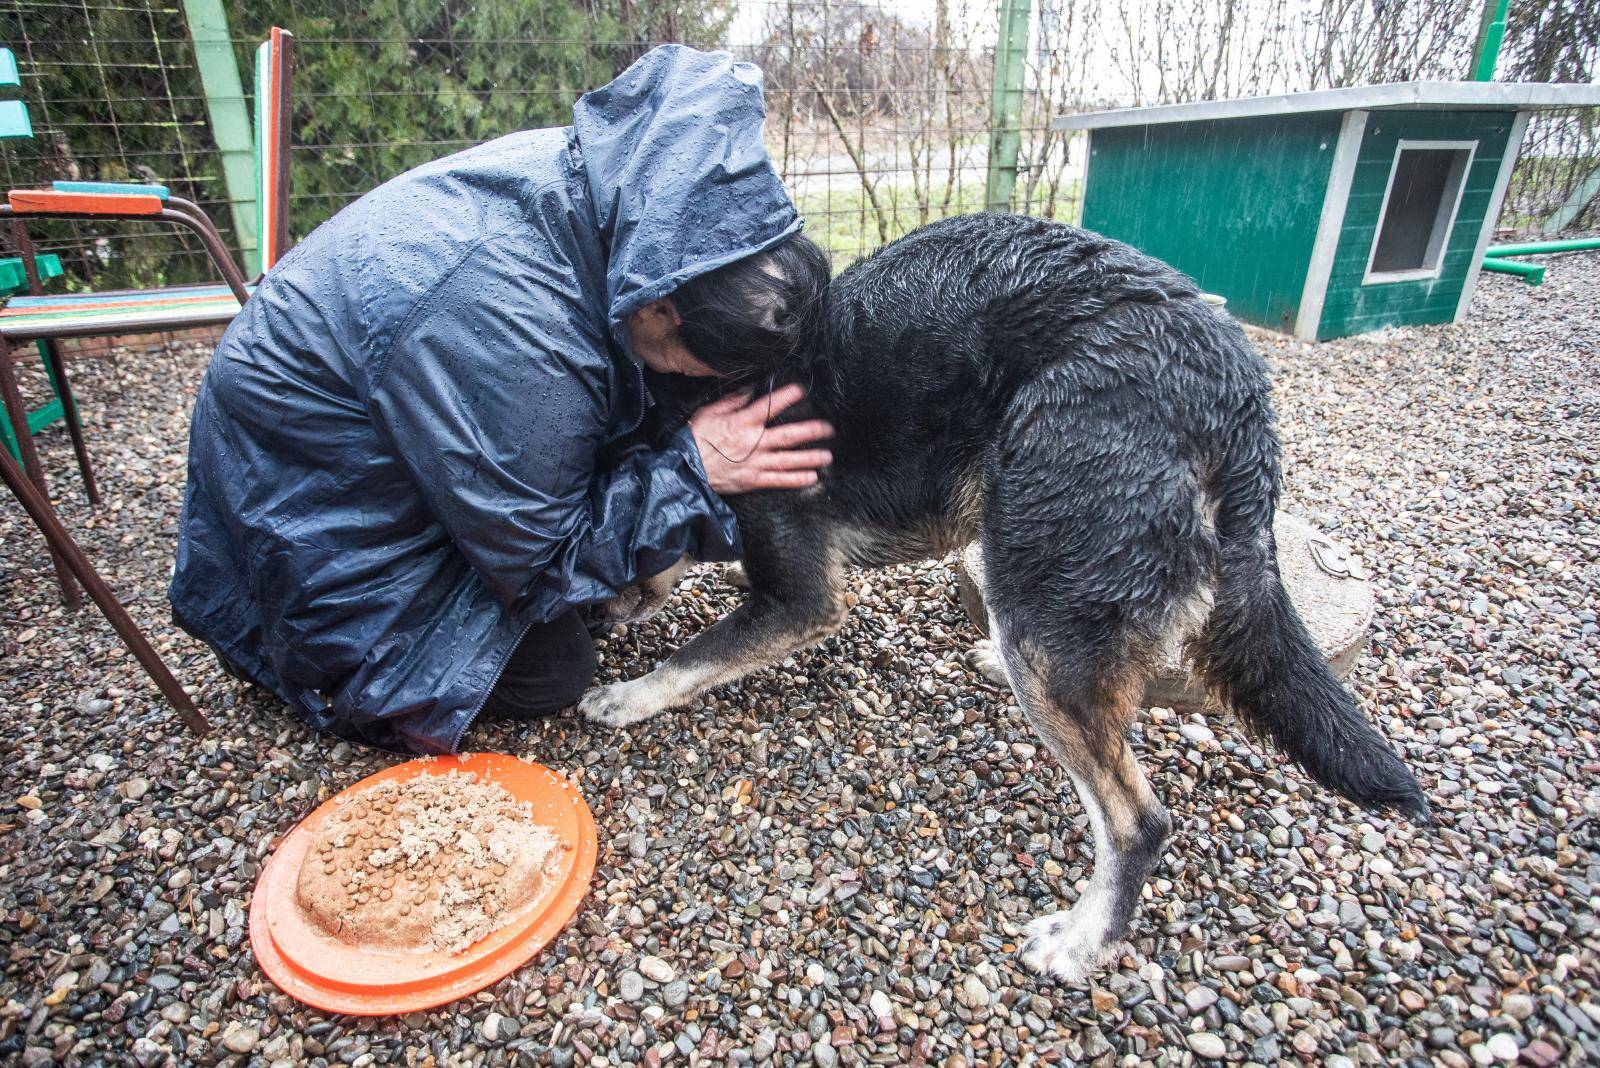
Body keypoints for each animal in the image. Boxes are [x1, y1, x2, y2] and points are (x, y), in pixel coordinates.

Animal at [582, 212, 1433, 978]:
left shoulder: (800, 599)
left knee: (1139, 821)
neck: (692, 432)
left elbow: (695, 655)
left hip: (1039, 581)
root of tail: (1234, 390)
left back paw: (1084, 944)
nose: (592, 623)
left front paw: (626, 694)